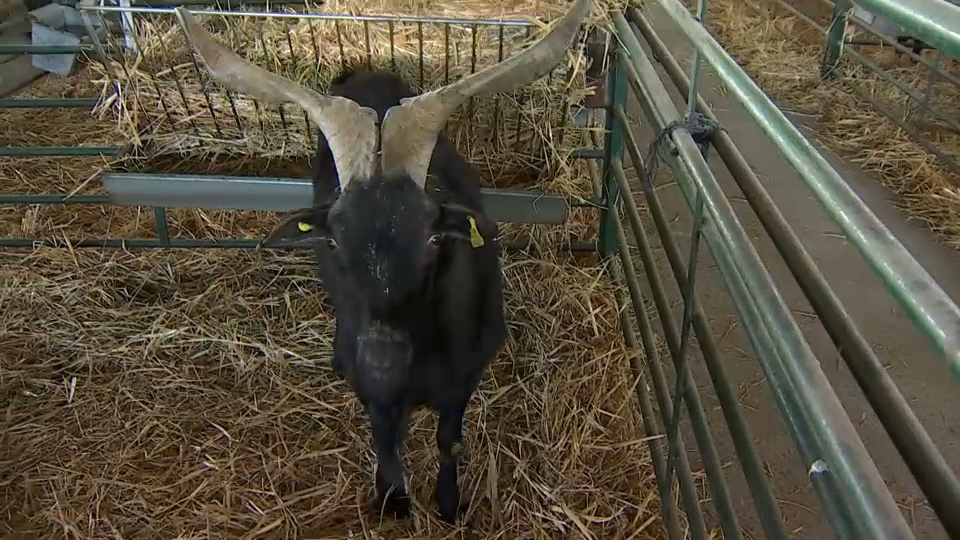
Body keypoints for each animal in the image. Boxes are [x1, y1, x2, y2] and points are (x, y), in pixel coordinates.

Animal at [174, 0, 592, 524]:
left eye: (434, 238)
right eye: (333, 242)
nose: (381, 356)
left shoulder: (464, 376)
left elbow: (449, 441)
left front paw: (448, 505)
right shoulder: (373, 388)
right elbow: (385, 439)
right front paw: (392, 499)